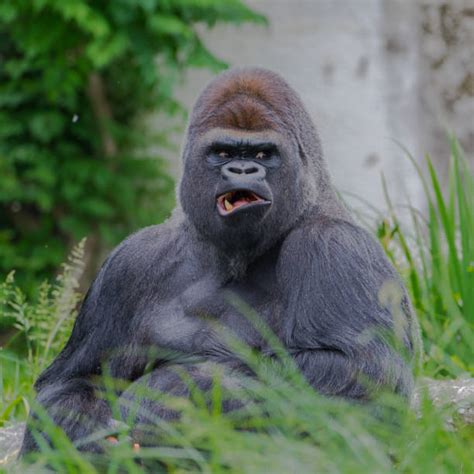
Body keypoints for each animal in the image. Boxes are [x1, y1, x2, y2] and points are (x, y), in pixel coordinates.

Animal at [19, 66, 418, 456]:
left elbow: (361, 373)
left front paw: (181, 390)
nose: (242, 171)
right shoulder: (128, 265)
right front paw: (81, 437)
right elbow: (73, 381)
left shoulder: (335, 247)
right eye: (223, 153)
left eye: (262, 155)